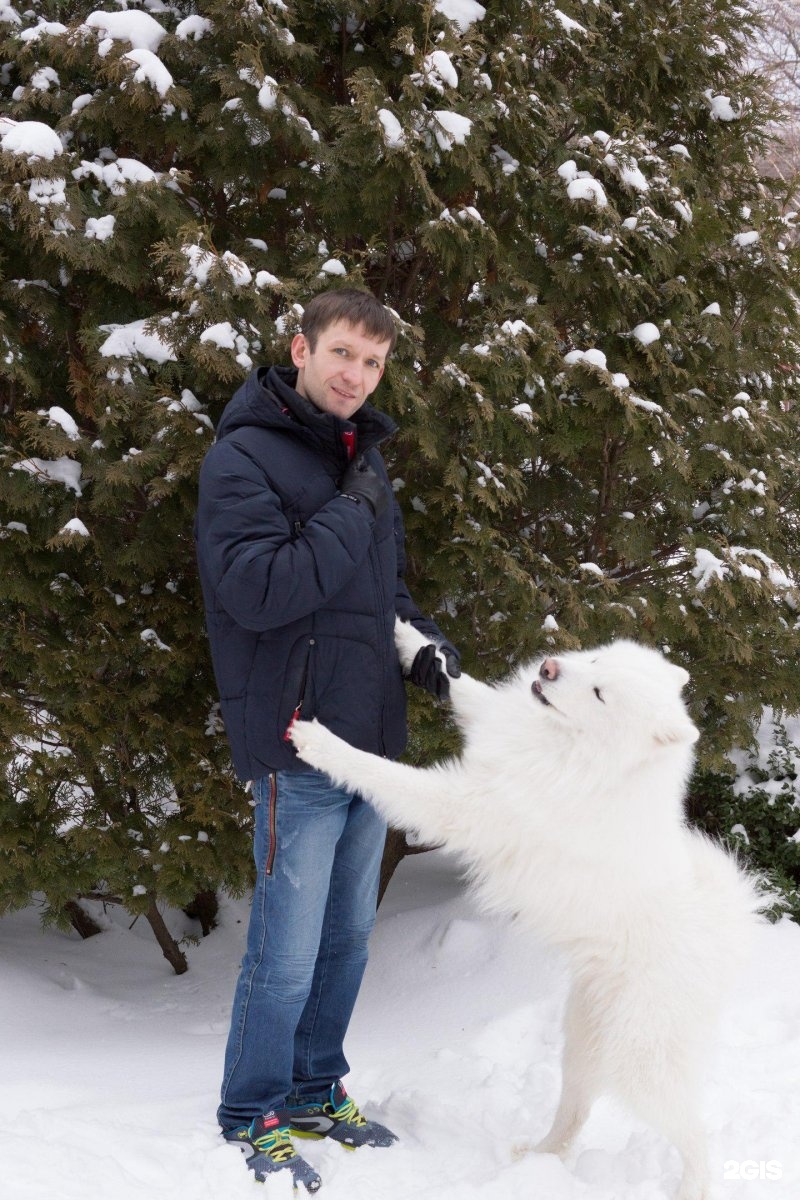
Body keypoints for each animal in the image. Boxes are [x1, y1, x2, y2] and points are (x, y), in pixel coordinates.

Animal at [292, 624, 762, 1195]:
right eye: (598, 662)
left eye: (600, 694)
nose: (549, 668)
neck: (572, 753)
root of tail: (726, 936)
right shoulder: (496, 724)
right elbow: (464, 687)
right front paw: (412, 641)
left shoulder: (463, 805)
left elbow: (385, 772)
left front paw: (321, 743)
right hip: (582, 1043)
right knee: (575, 1114)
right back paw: (535, 1158)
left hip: (640, 1066)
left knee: (694, 1135)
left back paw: (688, 1188)